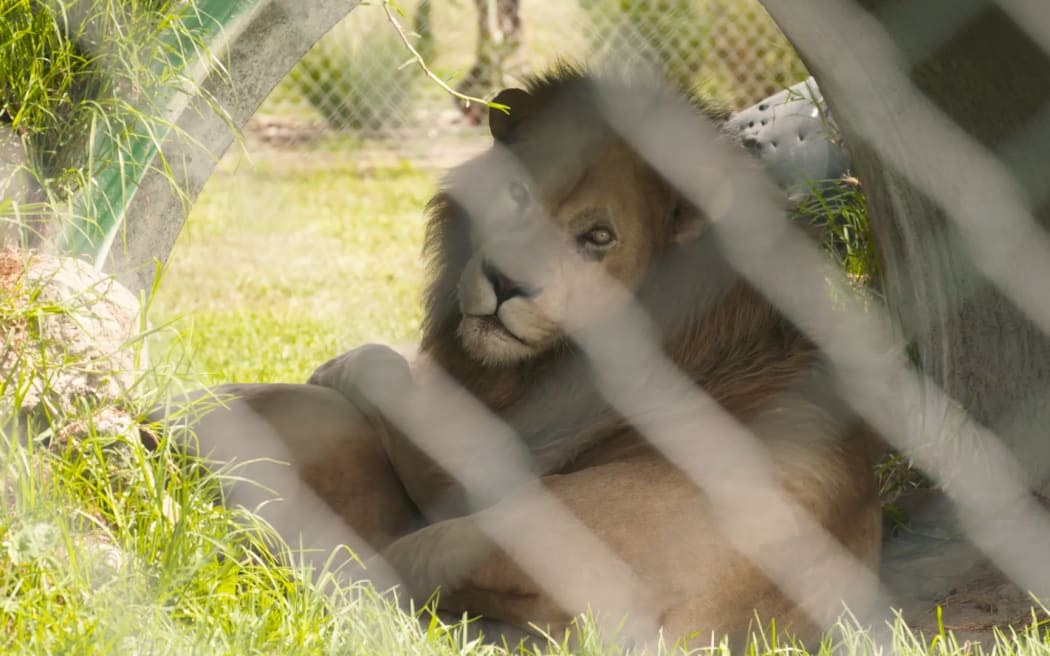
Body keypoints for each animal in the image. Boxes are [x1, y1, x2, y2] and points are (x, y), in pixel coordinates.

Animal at [159, 67, 883, 649]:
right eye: (516, 196)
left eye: (598, 238)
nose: (505, 282)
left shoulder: (494, 454)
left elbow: (390, 369)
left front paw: (338, 365)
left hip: (474, 533)